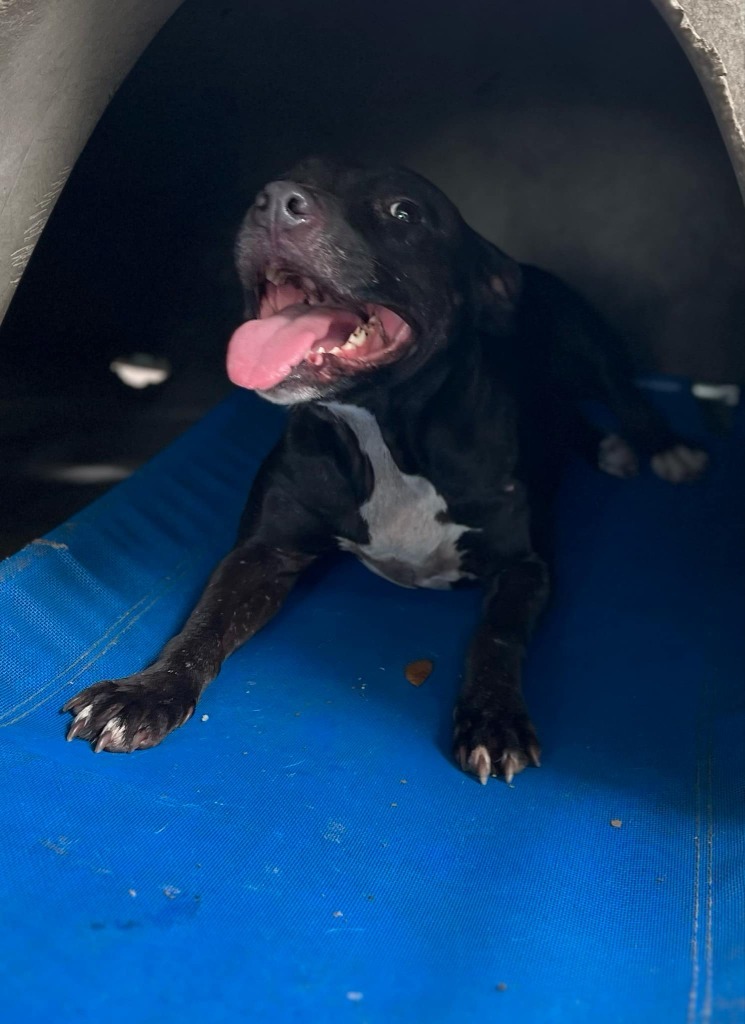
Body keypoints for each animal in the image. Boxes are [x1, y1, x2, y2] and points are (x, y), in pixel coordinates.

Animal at [62, 159, 704, 782]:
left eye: (404, 212)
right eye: (291, 171)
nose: (275, 201)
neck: (381, 438)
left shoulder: (525, 567)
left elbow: (495, 638)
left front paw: (494, 720)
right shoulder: (263, 552)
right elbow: (205, 623)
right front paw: (145, 694)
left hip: (588, 345)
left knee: (628, 397)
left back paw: (664, 448)